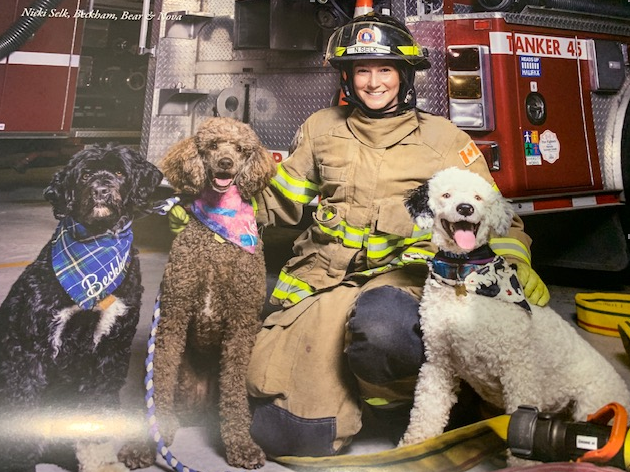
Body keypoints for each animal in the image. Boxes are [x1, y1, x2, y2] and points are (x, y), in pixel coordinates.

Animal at [0, 145, 163, 472]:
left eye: (119, 172)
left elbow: (96, 413)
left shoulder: (110, 350)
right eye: (85, 175)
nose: (101, 190)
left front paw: (99, 460)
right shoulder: (30, 350)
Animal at [400, 168, 630, 448]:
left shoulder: (519, 371)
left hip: (592, 405)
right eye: (446, 195)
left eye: (478, 197)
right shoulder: (438, 364)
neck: (464, 278)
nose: (465, 208)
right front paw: (410, 448)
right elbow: (425, 416)